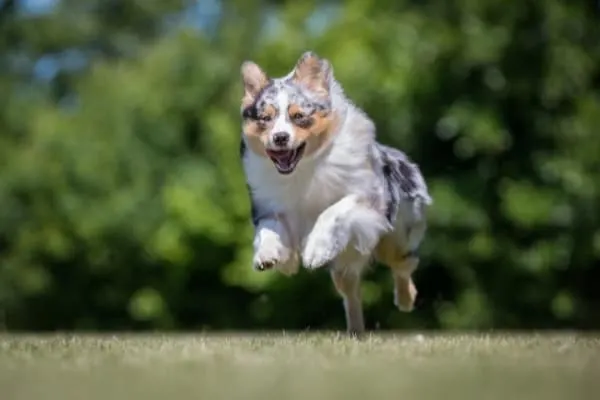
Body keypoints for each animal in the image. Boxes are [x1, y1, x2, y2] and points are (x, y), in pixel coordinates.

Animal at [237, 50, 428, 334]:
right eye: (265, 119)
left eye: (298, 116)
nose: (280, 137)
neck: (303, 168)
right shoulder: (271, 207)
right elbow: (269, 230)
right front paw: (268, 254)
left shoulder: (368, 197)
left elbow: (333, 211)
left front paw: (315, 250)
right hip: (345, 266)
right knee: (351, 293)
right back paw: (356, 331)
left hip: (395, 239)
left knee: (403, 265)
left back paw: (405, 299)